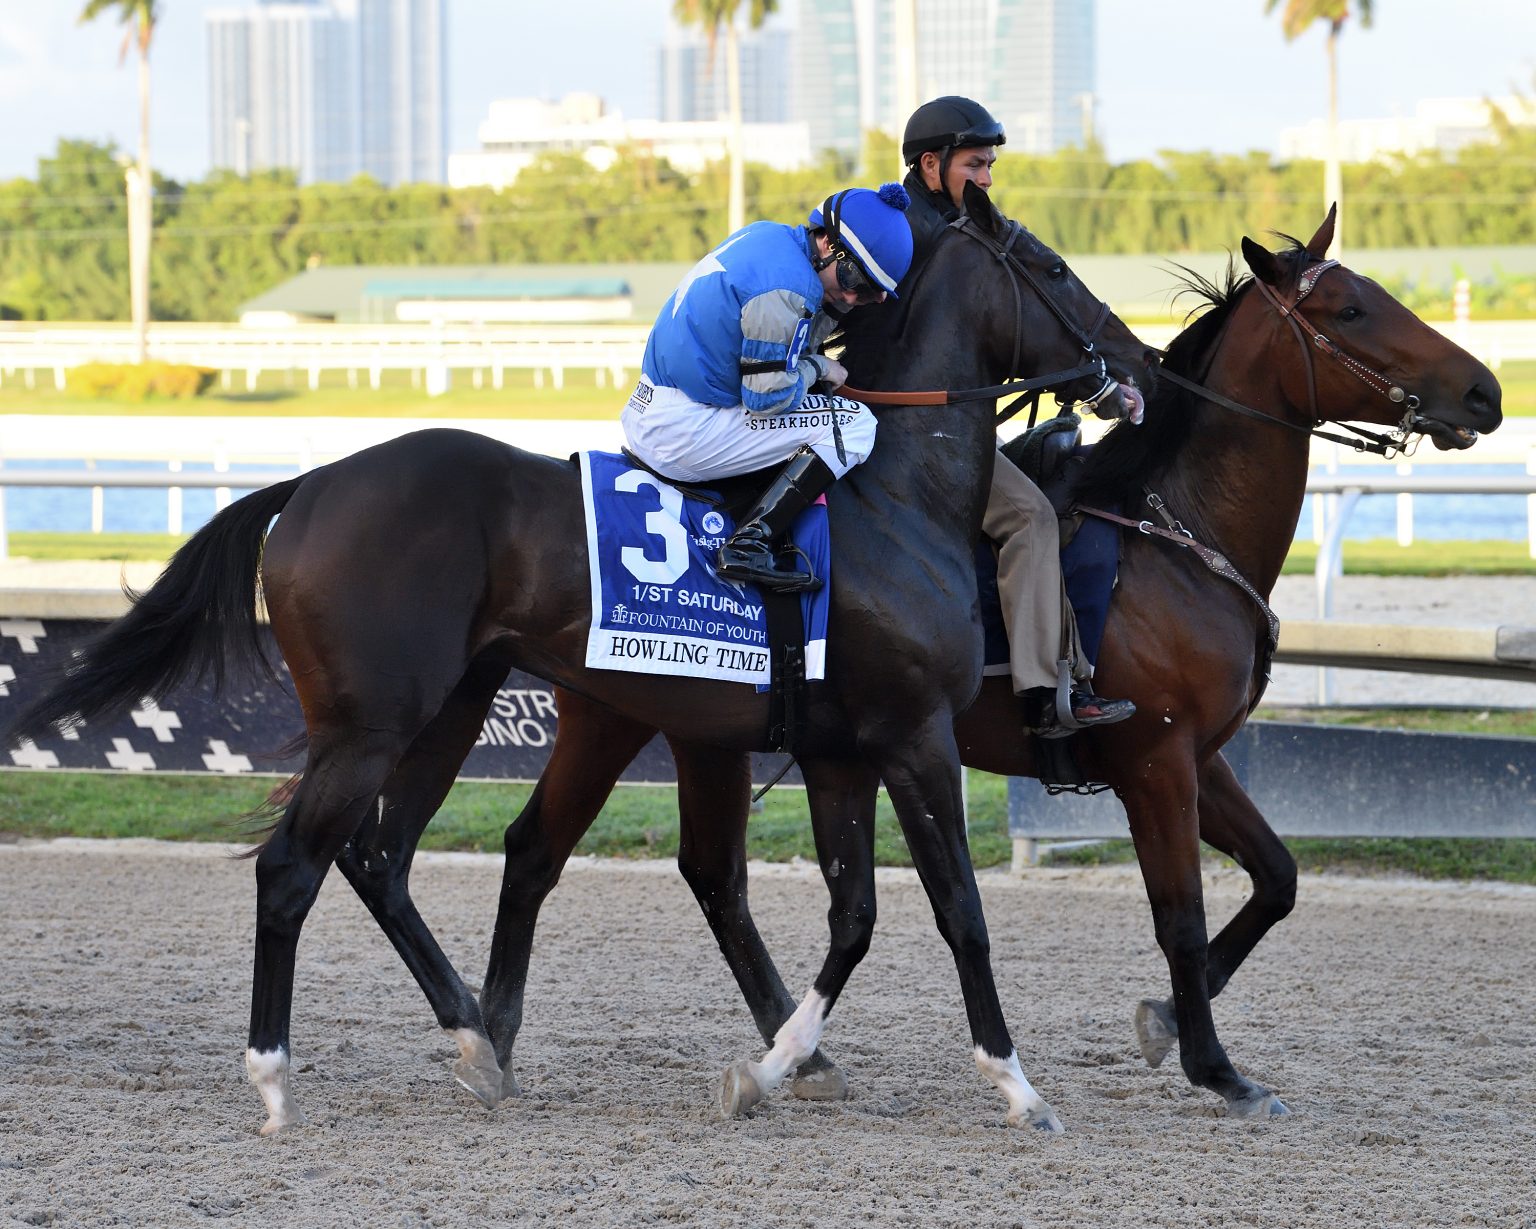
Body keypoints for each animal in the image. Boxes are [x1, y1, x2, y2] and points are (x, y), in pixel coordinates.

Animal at [0, 187, 1155, 1136]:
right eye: (1053, 269)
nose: (1136, 371)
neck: (895, 497)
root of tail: (312, 480)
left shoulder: (840, 750)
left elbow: (856, 916)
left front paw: (771, 1068)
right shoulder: (914, 736)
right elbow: (959, 910)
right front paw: (1017, 1084)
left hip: (450, 708)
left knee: (381, 856)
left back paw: (476, 1036)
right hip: (374, 721)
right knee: (295, 866)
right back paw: (278, 1079)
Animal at [476, 208, 1499, 1124]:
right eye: (1352, 310)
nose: (1486, 391)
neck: (1174, 530)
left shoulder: (1195, 756)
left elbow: (1278, 877)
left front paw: (1168, 1022)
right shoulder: (1154, 762)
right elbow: (1177, 915)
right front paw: (1214, 1067)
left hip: (678, 727)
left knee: (651, 867)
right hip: (643, 719)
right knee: (601, 859)